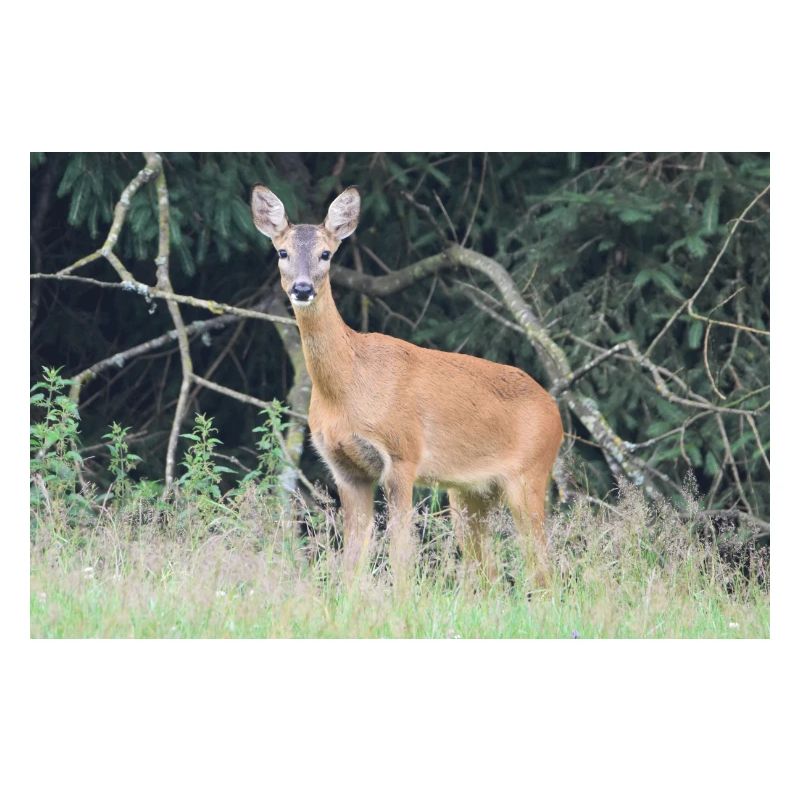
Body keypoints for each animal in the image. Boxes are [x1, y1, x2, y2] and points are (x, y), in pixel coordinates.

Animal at [251, 185, 563, 587]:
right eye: (282, 252)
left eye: (326, 253)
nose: (303, 289)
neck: (348, 390)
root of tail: (555, 412)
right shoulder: (345, 469)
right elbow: (352, 558)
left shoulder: (402, 454)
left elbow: (402, 554)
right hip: (469, 493)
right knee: (488, 571)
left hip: (530, 474)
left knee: (542, 568)